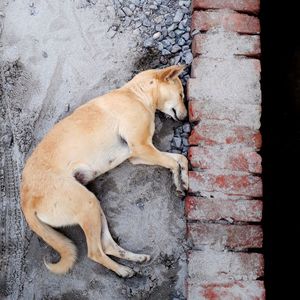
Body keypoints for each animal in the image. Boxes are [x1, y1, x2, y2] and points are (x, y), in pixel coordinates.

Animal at [21, 65, 189, 278]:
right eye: (181, 94)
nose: (186, 117)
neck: (136, 94)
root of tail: (25, 198)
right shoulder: (142, 148)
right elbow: (173, 163)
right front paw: (177, 183)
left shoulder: (138, 155)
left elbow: (180, 159)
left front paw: (185, 180)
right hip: (88, 204)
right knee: (95, 252)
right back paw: (122, 270)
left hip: (94, 206)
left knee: (107, 245)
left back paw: (136, 259)